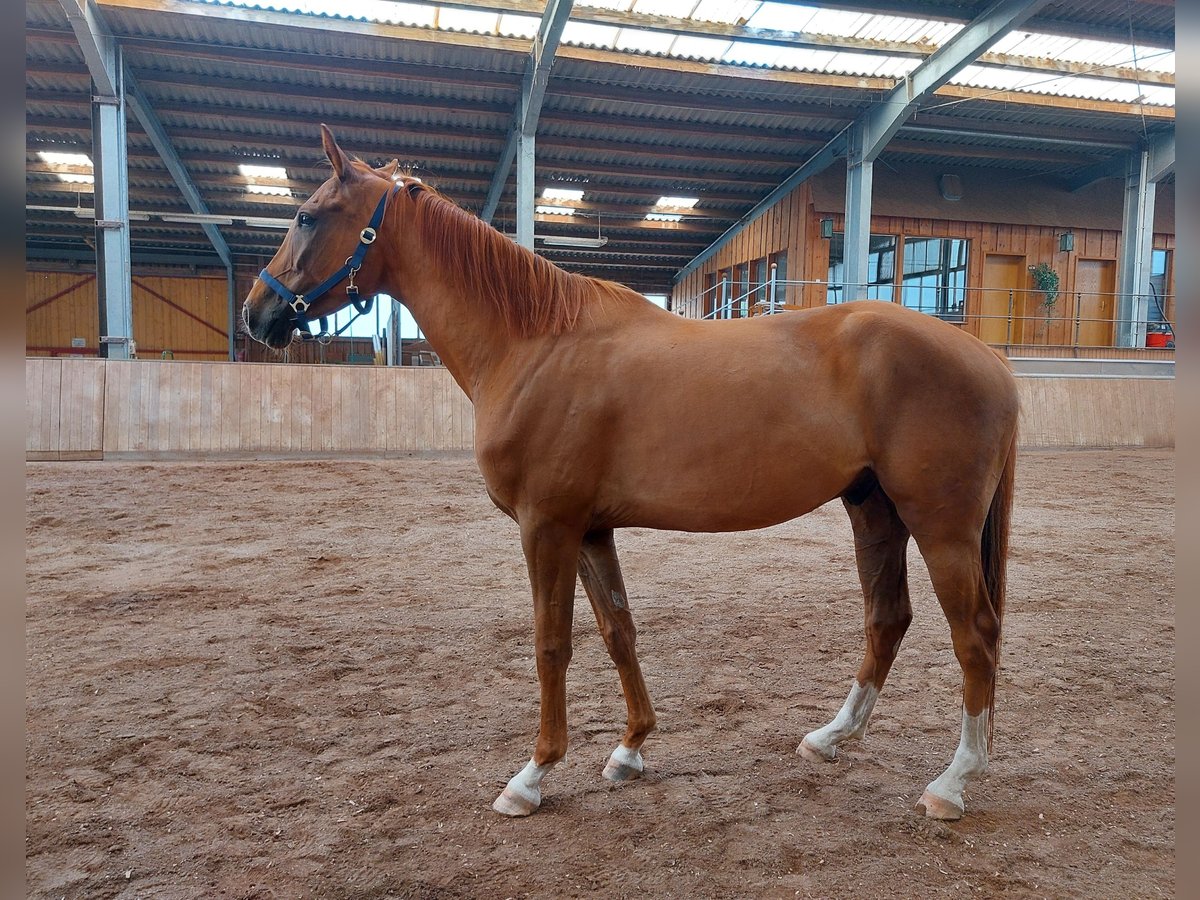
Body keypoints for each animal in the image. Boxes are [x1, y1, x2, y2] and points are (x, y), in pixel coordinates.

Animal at [243, 125, 1020, 821]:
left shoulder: (547, 527)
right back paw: (831, 737)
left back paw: (954, 782)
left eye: (308, 216)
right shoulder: (591, 530)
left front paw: (532, 776)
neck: (534, 342)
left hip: (940, 525)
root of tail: (987, 356)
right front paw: (630, 749)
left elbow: (551, 645)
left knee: (975, 634)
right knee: (888, 619)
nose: (259, 312)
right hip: (873, 509)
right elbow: (619, 631)